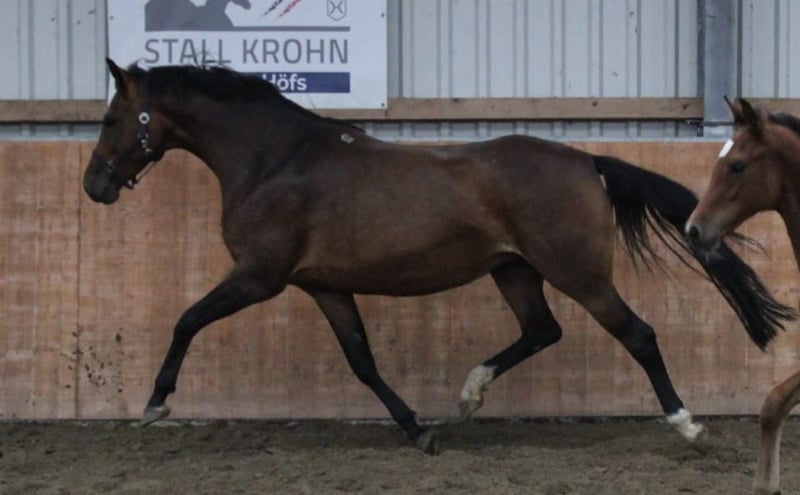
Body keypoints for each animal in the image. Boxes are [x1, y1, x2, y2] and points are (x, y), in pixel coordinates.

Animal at [84, 59, 795, 454]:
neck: (276, 160)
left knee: (637, 334)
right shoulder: (324, 287)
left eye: (113, 119)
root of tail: (586, 161)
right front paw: (418, 431)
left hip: (577, 273)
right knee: (542, 330)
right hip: (515, 271)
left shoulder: (259, 277)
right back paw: (469, 393)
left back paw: (688, 427)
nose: (94, 186)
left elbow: (186, 320)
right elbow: (363, 363)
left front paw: (155, 404)